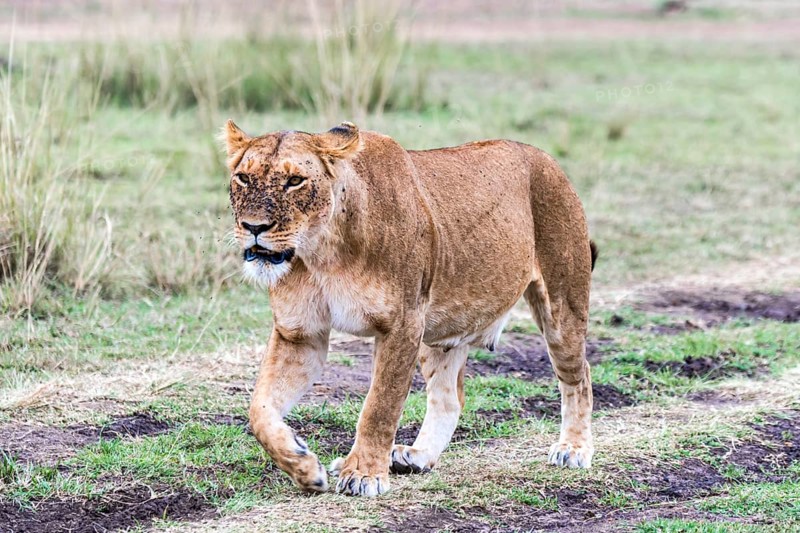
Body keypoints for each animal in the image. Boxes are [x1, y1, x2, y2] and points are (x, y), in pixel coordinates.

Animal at [224, 120, 597, 497]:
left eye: (294, 180)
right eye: (243, 177)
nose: (254, 227)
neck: (321, 253)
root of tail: (547, 159)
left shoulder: (402, 324)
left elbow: (380, 406)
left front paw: (363, 474)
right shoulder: (300, 334)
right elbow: (259, 410)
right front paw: (304, 467)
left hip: (562, 307)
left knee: (579, 375)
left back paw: (573, 449)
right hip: (445, 329)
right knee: (450, 398)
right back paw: (415, 457)